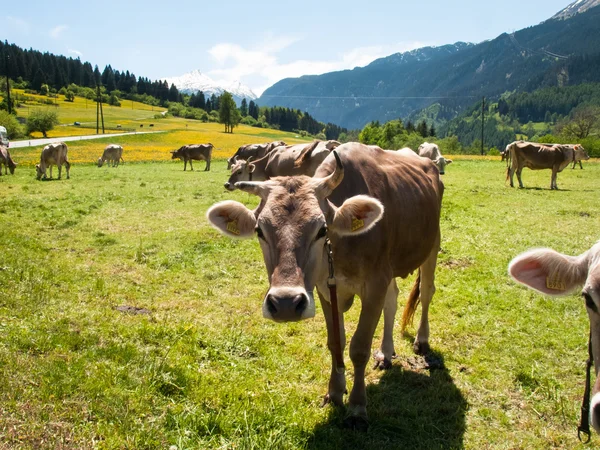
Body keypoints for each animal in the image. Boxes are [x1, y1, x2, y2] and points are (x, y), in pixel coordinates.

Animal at [209, 144, 442, 426]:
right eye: (259, 231)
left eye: (322, 229)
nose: (285, 303)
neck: (339, 249)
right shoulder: (325, 289)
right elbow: (336, 342)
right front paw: (335, 392)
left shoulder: (375, 283)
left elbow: (359, 347)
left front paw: (357, 406)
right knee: (393, 300)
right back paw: (386, 353)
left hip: (432, 245)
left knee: (427, 292)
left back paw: (421, 340)